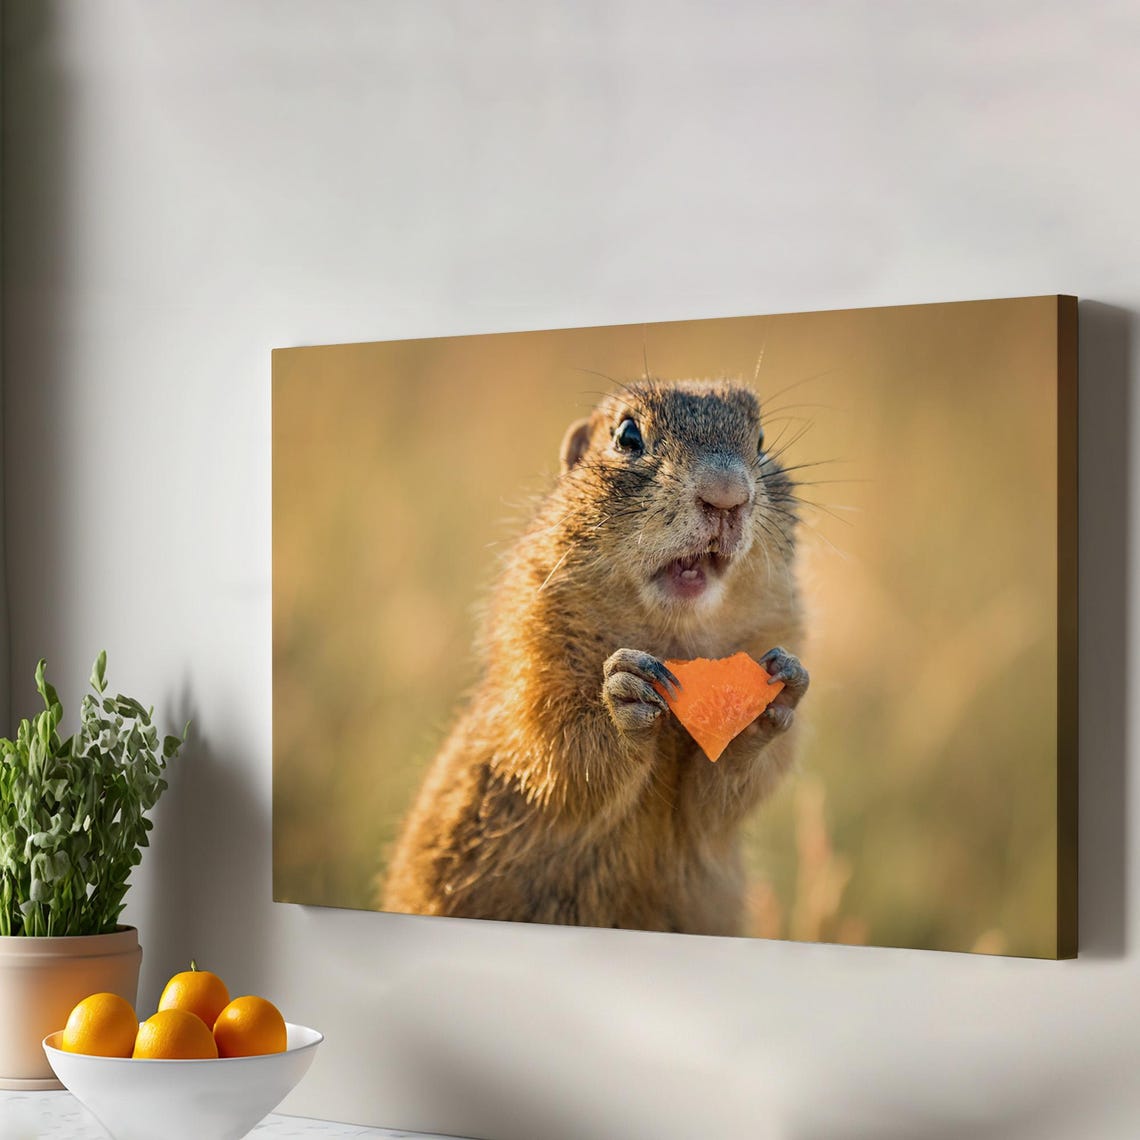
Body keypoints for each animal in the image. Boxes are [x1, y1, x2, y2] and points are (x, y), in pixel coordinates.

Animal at [379, 378, 808, 936]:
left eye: (760, 441)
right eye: (627, 435)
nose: (726, 495)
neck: (675, 638)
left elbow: (718, 801)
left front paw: (775, 694)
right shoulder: (532, 655)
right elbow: (558, 749)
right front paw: (625, 694)